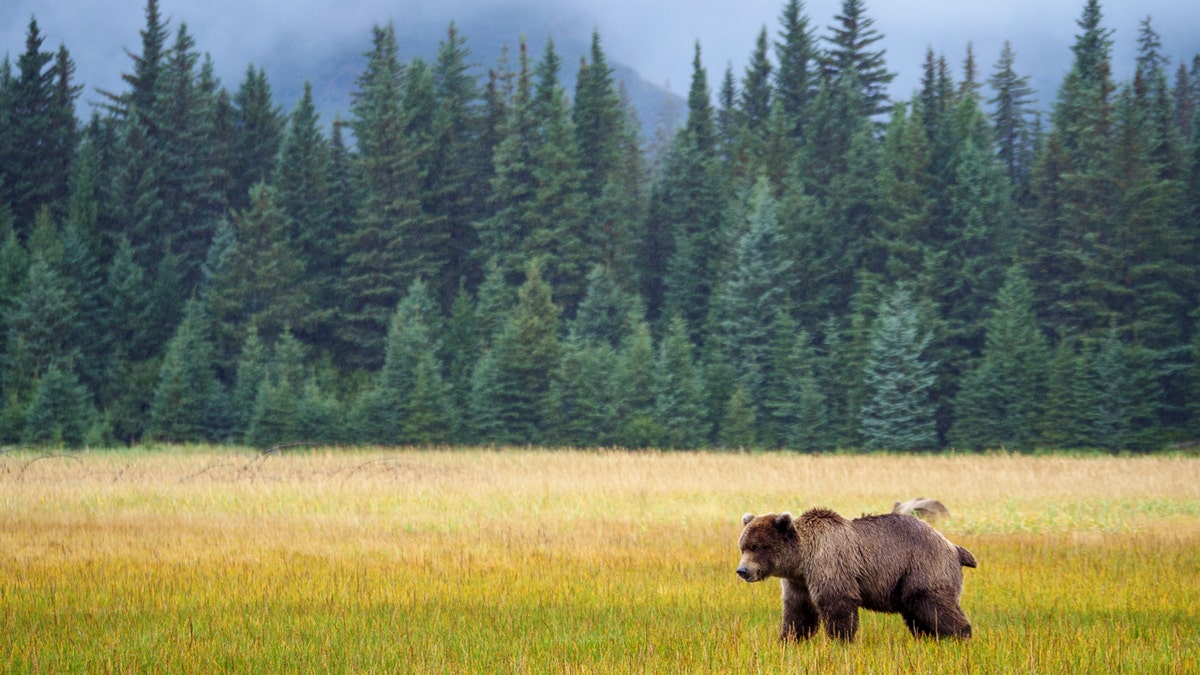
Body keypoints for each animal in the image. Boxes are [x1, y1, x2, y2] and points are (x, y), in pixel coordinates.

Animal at [737, 506, 976, 642]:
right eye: (743, 546)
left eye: (757, 547)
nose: (742, 570)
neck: (803, 560)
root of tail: (952, 546)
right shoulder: (798, 581)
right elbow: (798, 611)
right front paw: (789, 640)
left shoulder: (830, 565)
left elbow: (837, 604)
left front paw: (839, 641)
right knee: (919, 613)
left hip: (923, 567)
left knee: (935, 606)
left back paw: (960, 636)